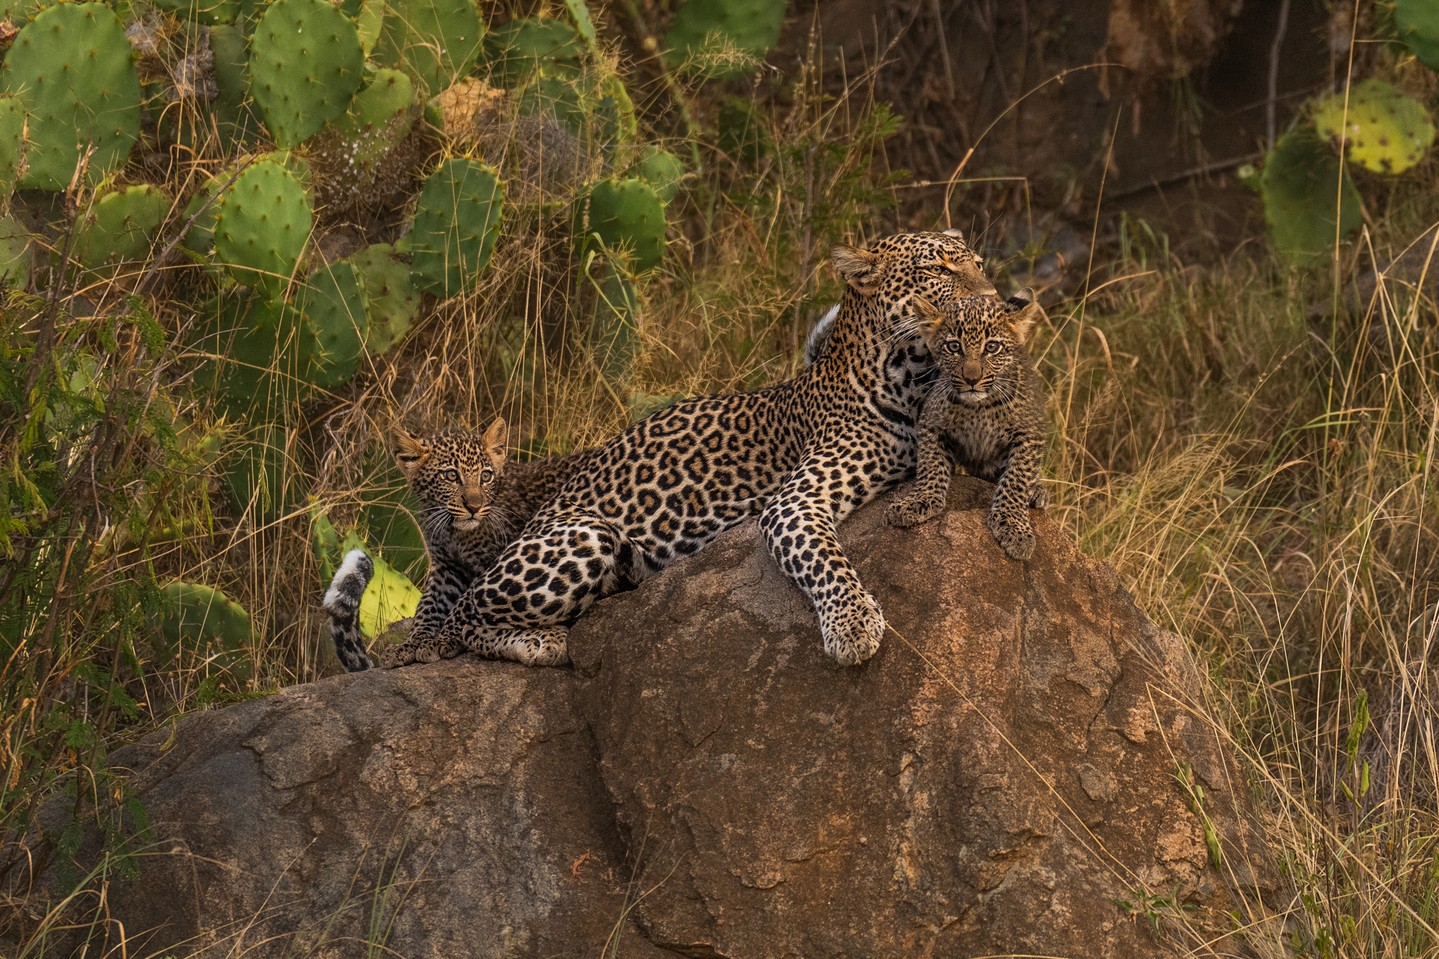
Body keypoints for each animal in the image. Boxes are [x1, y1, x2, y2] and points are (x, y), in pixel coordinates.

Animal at [322, 417, 592, 670]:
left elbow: (467, 604)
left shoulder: (497, 562)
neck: (455, 531)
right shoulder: (447, 567)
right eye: (451, 475)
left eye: (485, 476)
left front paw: (442, 639)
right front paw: (413, 643)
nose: (474, 506)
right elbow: (428, 605)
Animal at [378, 229, 996, 670]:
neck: (910, 376)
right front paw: (854, 626)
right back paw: (540, 644)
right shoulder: (793, 503)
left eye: (980, 265)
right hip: (584, 535)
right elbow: (826, 559)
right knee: (462, 616)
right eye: (939, 270)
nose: (996, 299)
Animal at [885, 289, 1049, 560]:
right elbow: (930, 466)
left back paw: (1037, 492)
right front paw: (919, 501)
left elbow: (1016, 480)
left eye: (992, 347)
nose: (972, 379)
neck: (979, 408)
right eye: (954, 347)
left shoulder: (1030, 432)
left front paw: (1013, 527)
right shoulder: (931, 423)